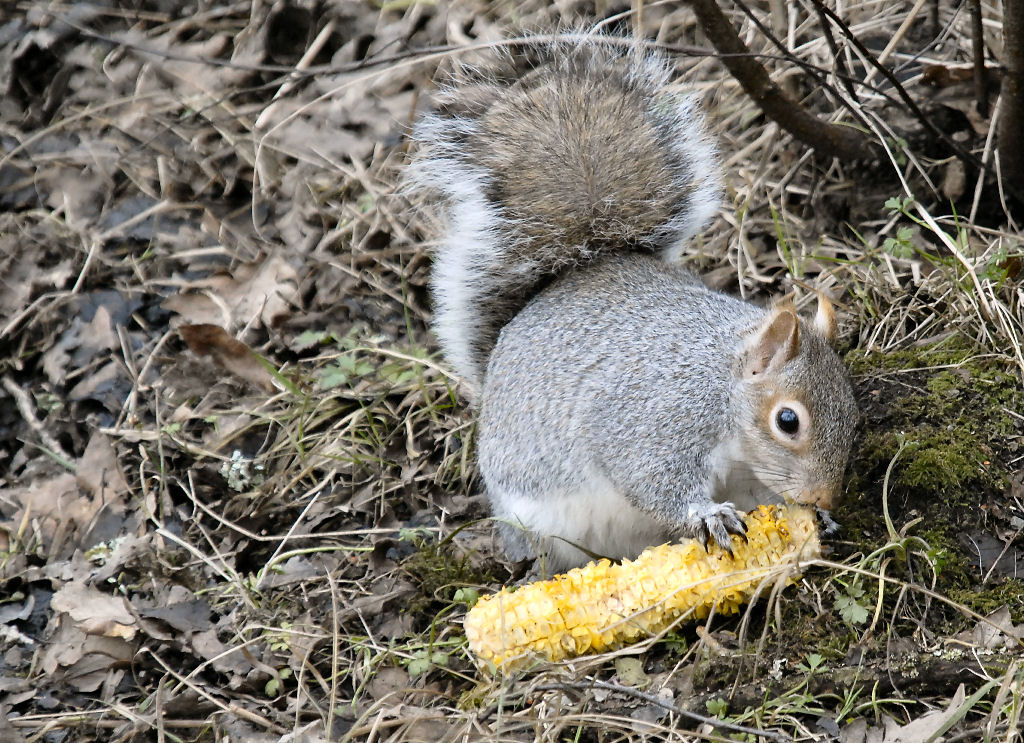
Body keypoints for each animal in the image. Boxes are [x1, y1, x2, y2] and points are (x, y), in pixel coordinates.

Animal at [405, 39, 856, 577]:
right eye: (788, 421)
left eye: (854, 414)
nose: (825, 496)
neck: (720, 386)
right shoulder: (653, 419)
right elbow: (649, 479)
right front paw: (706, 516)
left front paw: (815, 518)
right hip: (537, 523)